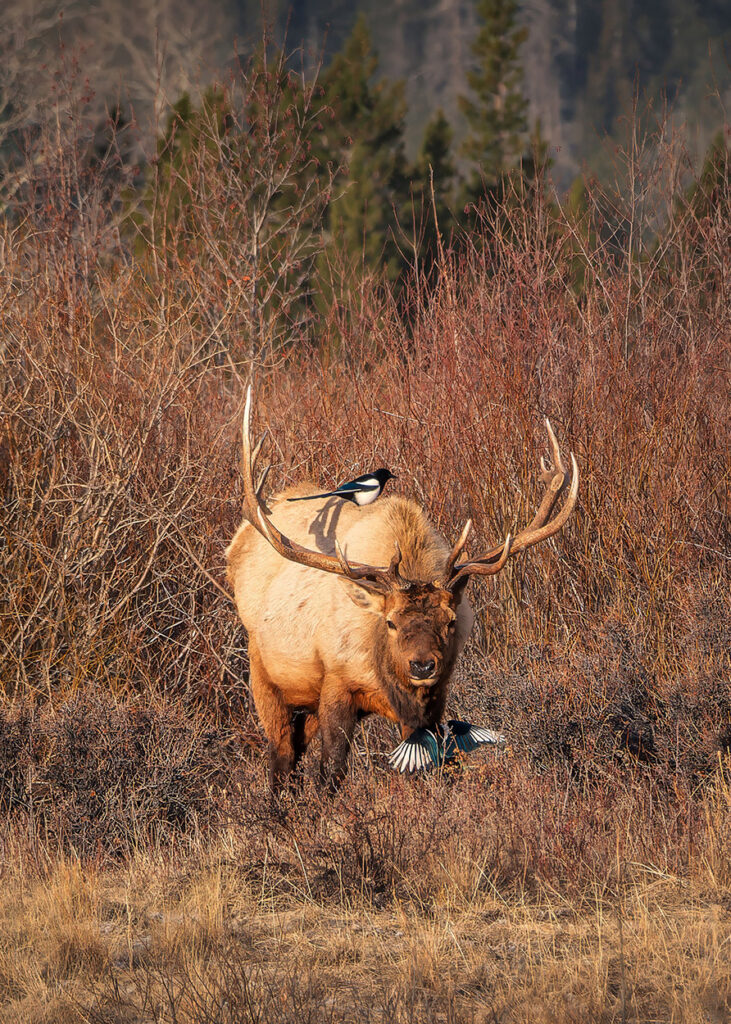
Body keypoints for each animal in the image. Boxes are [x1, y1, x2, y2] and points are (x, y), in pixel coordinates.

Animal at [226, 386, 578, 790]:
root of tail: (238, 542)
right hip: (264, 673)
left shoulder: (435, 698)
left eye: (450, 621)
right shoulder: (335, 682)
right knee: (282, 755)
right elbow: (331, 769)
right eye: (391, 622)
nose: (422, 665)